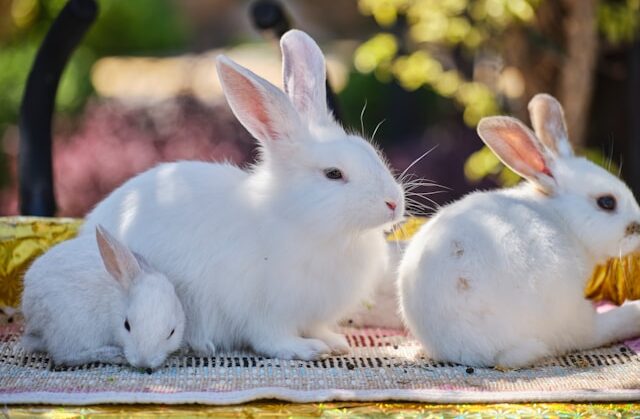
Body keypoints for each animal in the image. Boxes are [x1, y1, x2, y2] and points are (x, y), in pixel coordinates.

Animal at [20, 226, 185, 370]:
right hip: (73, 327)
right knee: (64, 356)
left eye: (172, 332)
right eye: (126, 325)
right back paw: (113, 354)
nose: (143, 363)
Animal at [80, 31, 404, 362]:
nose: (394, 202)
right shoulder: (263, 309)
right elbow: (271, 338)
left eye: (370, 151)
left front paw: (334, 342)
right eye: (333, 174)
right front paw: (306, 349)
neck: (299, 220)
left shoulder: (310, 312)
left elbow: (315, 327)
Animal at [400, 93, 640, 370]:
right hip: (570, 314)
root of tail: (471, 348)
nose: (638, 226)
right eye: (607, 202)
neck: (562, 218)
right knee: (594, 331)